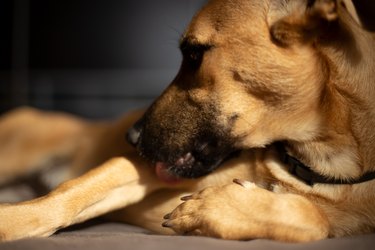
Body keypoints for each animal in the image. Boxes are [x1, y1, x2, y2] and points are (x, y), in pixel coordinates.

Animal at [0, 0, 375, 243]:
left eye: (194, 54)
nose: (131, 138)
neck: (313, 163)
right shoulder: (140, 170)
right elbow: (70, 192)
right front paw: (12, 221)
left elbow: (314, 219)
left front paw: (221, 209)